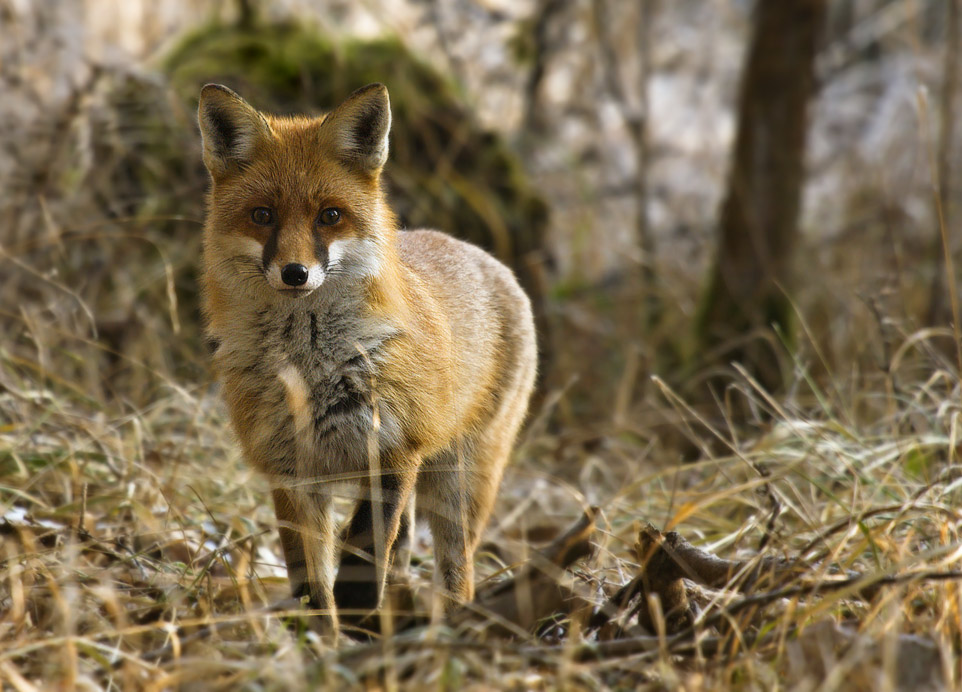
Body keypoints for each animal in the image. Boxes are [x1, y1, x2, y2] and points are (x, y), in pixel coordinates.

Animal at [196, 81, 540, 636]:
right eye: (263, 216)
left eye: (330, 216)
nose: (295, 273)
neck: (311, 367)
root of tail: (473, 249)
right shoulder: (288, 467)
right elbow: (309, 575)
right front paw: (319, 638)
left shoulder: (395, 451)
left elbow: (361, 556)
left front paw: (356, 635)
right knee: (402, 559)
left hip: (460, 482)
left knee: (456, 571)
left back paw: (449, 627)